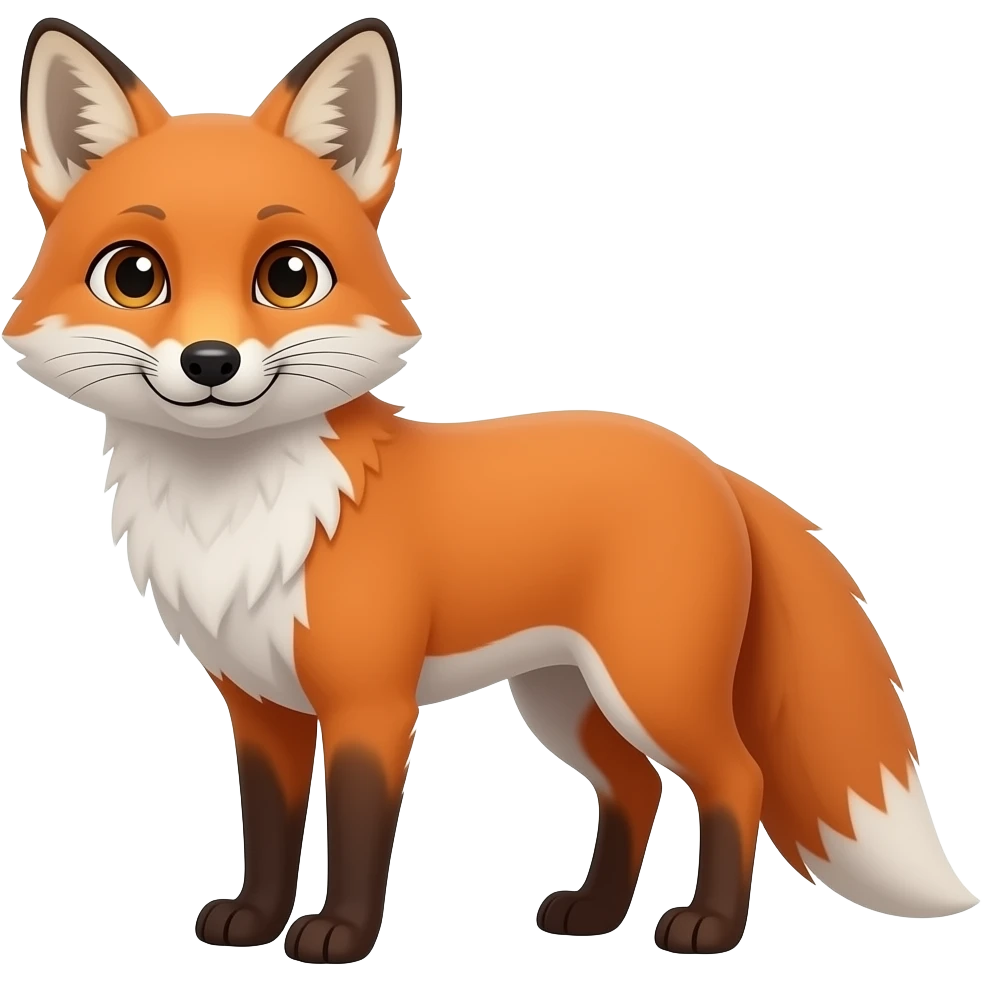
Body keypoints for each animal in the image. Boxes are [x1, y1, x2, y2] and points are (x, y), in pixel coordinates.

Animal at [5, 15, 977, 966]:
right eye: (134, 275)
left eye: (288, 275)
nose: (211, 362)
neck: (236, 513)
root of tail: (706, 463)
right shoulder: (260, 706)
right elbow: (271, 831)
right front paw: (254, 918)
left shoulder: (371, 701)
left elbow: (358, 828)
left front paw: (339, 936)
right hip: (566, 701)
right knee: (636, 788)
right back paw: (593, 912)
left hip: (652, 687)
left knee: (738, 778)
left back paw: (709, 928)